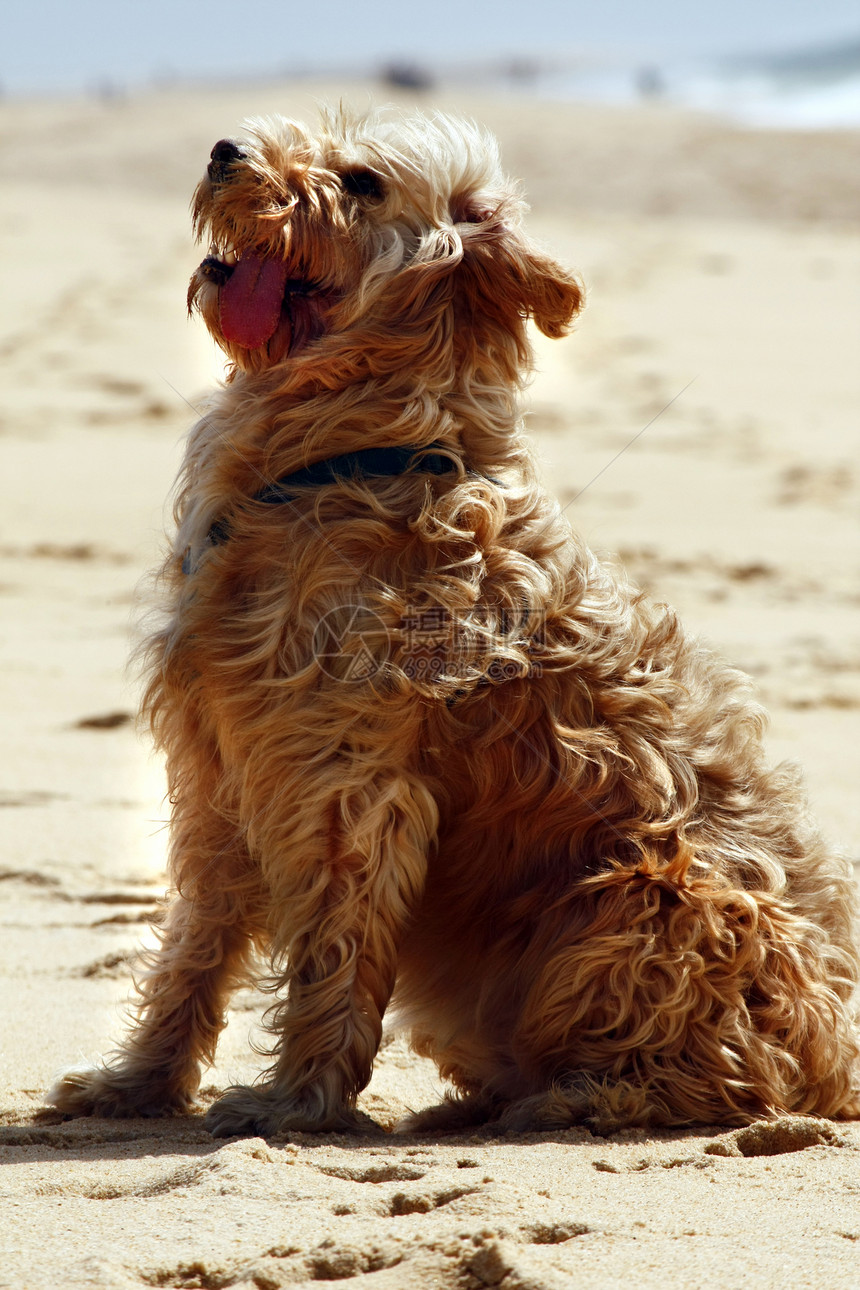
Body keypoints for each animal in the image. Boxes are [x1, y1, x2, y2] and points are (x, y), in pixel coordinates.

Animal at [50, 110, 856, 1140]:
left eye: (359, 181)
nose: (227, 150)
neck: (356, 453)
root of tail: (844, 1061)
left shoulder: (350, 784)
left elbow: (333, 951)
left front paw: (296, 1100)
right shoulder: (217, 768)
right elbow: (197, 942)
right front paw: (137, 1086)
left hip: (647, 897)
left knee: (731, 1076)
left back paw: (580, 1097)